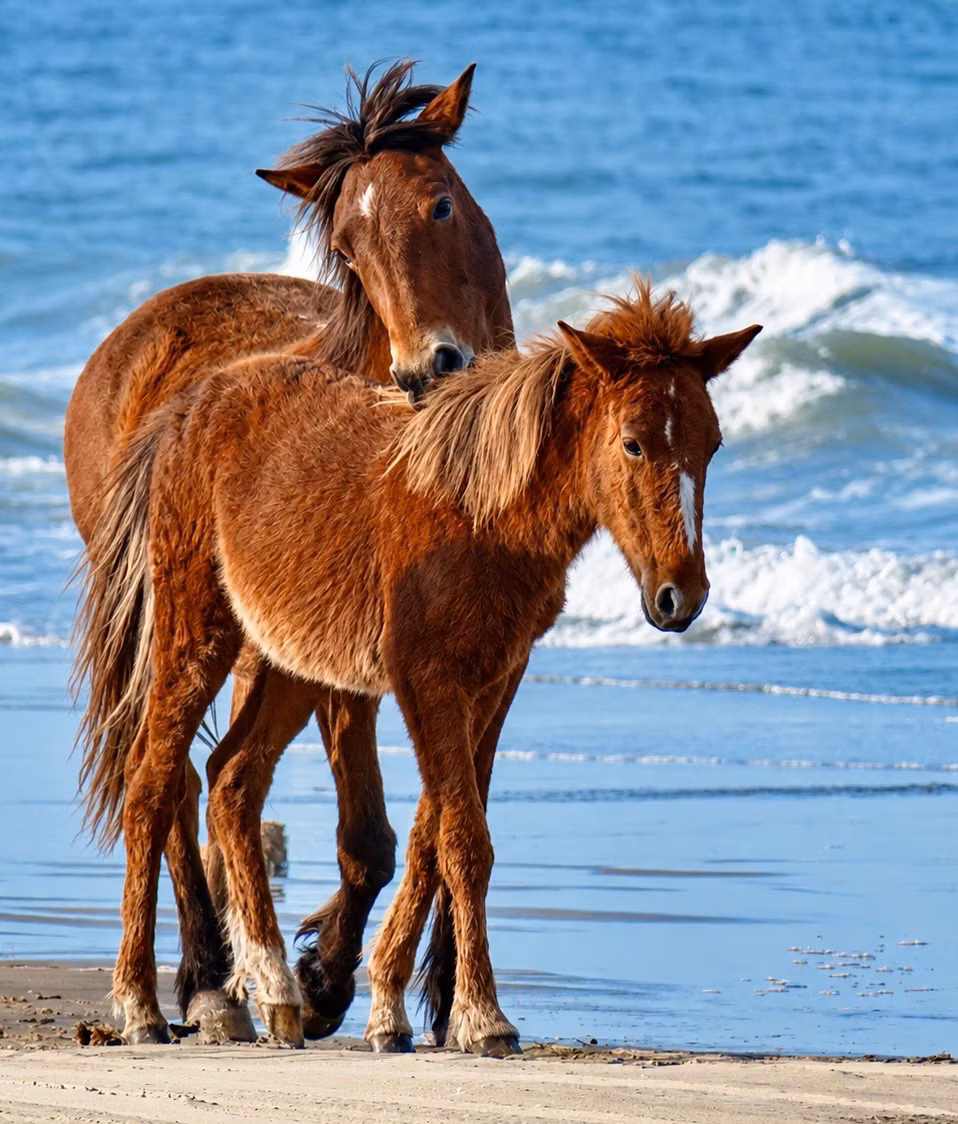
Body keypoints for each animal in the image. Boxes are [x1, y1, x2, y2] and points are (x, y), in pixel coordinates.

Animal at [76, 279, 760, 1052]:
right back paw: (142, 1004)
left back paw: (277, 989)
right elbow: (465, 841)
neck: (481, 512)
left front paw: (388, 1007)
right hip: (198, 634)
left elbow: (436, 836)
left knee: (231, 780)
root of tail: (193, 403)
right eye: (633, 443)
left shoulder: (490, 683)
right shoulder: (428, 683)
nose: (681, 597)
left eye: (713, 444)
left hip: (292, 662)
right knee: (154, 784)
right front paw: (483, 1018)